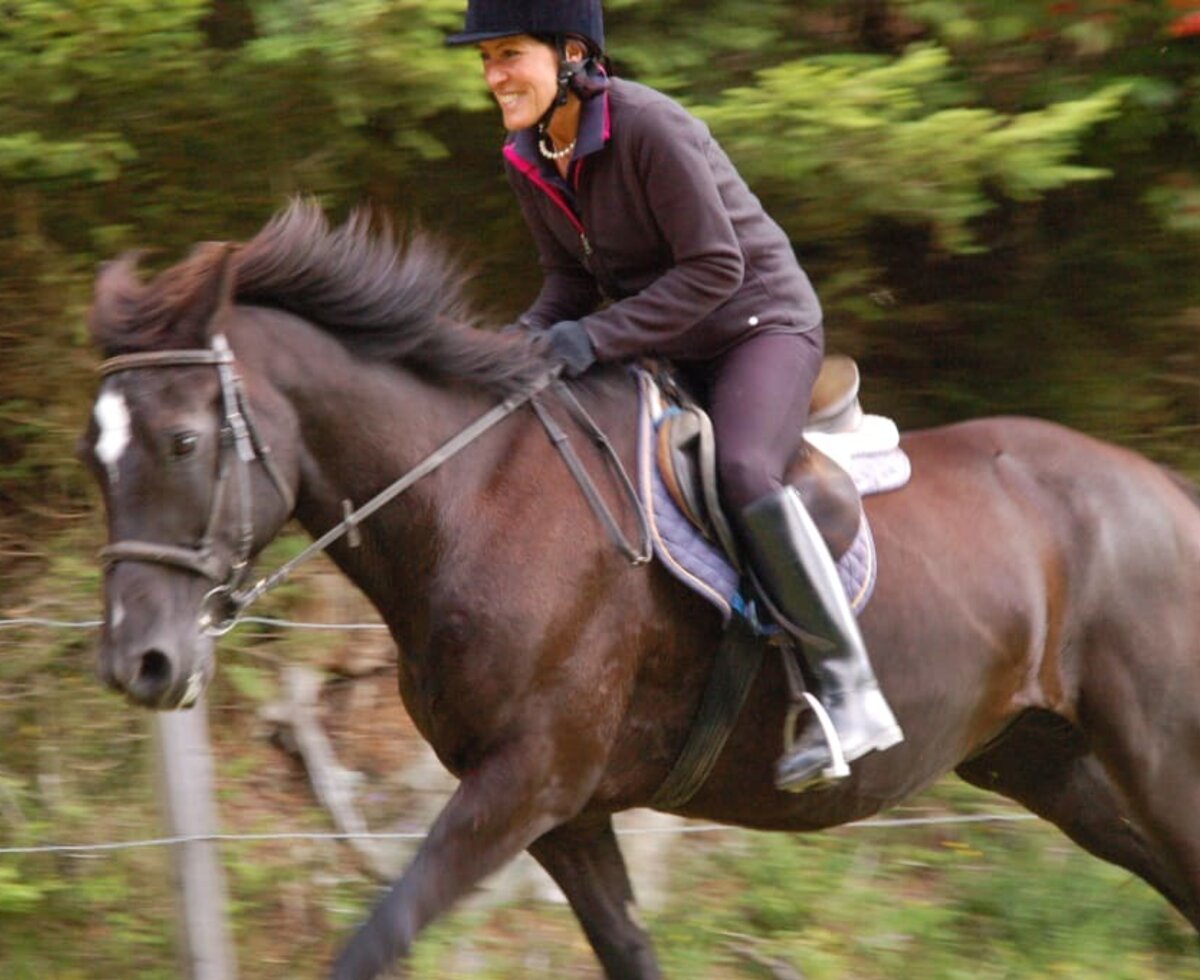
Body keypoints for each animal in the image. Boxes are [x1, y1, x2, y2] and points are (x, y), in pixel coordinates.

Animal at [79, 200, 1200, 978]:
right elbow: (627, 947)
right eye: (97, 456)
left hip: (1154, 749)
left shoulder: (525, 781)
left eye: (183, 441)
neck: (469, 497)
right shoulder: (562, 811)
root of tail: (1166, 490)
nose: (142, 664)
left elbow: (376, 938)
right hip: (1044, 759)